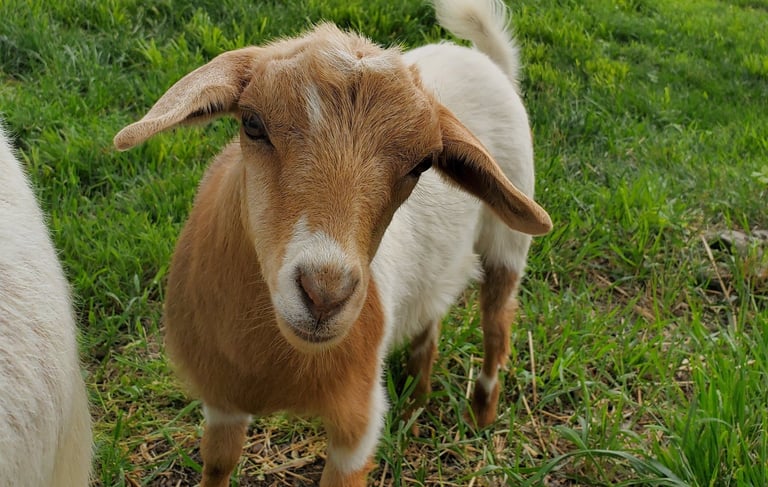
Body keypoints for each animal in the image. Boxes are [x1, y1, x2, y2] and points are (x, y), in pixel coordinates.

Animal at [114, 0, 552, 485]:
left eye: (423, 163)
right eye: (252, 123)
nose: (325, 295)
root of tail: (487, 61)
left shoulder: (357, 423)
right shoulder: (223, 397)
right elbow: (218, 463)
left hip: (508, 242)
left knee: (497, 324)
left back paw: (481, 413)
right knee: (431, 314)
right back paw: (415, 399)